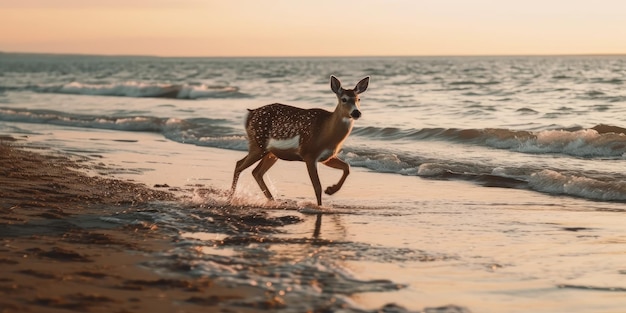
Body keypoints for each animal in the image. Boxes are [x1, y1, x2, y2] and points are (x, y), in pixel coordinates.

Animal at [229, 75, 368, 206]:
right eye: (344, 99)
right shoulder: (309, 153)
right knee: (239, 166)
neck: (325, 132)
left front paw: (330, 190)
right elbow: (317, 187)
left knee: (256, 172)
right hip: (258, 145)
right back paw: (230, 199)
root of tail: (250, 114)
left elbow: (347, 167)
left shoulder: (327, 157)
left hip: (270, 153)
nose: (356, 112)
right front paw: (320, 205)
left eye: (358, 99)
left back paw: (273, 201)